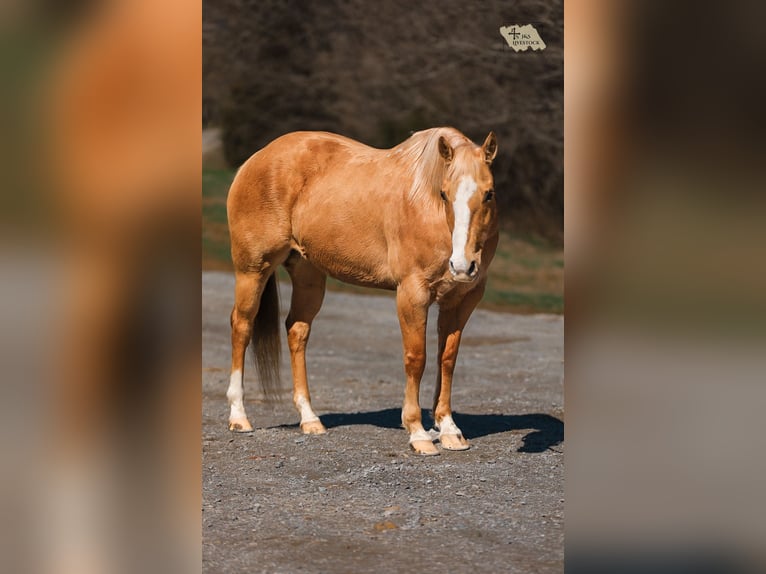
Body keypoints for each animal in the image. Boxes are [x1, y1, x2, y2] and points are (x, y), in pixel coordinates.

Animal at [226, 127, 498, 455]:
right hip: (253, 270)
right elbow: (416, 358)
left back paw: (310, 419)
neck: (428, 208)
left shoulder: (460, 301)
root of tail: (255, 160)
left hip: (308, 275)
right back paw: (239, 417)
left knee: (296, 331)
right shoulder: (412, 295)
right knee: (242, 326)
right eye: (444, 193)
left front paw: (449, 430)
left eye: (489, 193)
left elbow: (447, 360)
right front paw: (418, 432)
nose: (462, 265)